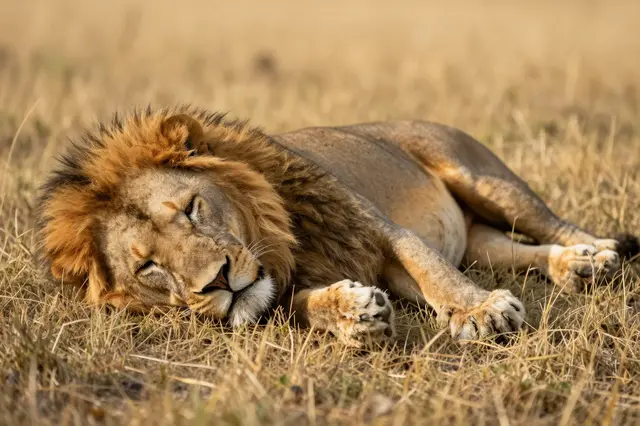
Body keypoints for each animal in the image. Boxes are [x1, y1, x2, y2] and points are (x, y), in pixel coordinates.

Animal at [37, 107, 639, 346]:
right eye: (149, 267)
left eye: (189, 208)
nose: (218, 282)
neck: (280, 243)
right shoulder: (285, 291)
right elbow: (300, 307)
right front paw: (352, 313)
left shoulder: (379, 228)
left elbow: (433, 271)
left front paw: (481, 311)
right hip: (478, 238)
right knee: (516, 251)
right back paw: (577, 269)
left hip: (484, 179)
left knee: (556, 224)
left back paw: (598, 254)